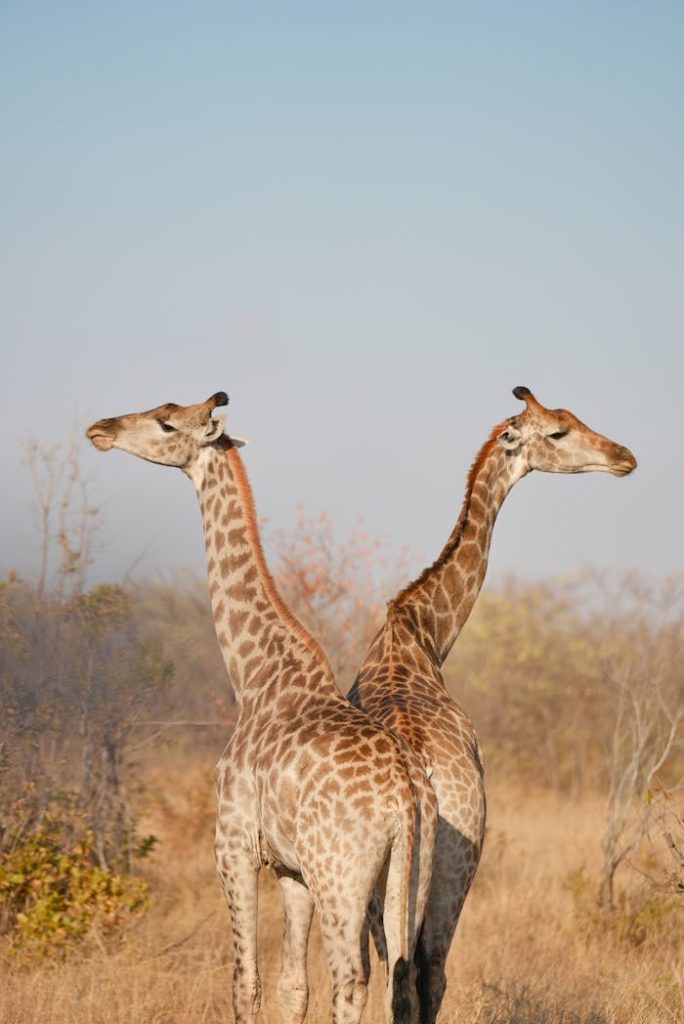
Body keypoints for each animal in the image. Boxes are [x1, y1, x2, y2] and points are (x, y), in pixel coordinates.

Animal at [86, 392, 438, 1024]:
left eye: (166, 423)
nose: (100, 429)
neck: (252, 677)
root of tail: (405, 796)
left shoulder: (232, 844)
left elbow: (243, 979)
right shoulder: (290, 868)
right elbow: (291, 984)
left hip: (341, 874)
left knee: (352, 978)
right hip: (409, 872)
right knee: (403, 977)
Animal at [349, 386, 636, 1022]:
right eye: (557, 431)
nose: (624, 457)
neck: (421, 631)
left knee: (401, 974)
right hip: (456, 864)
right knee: (426, 974)